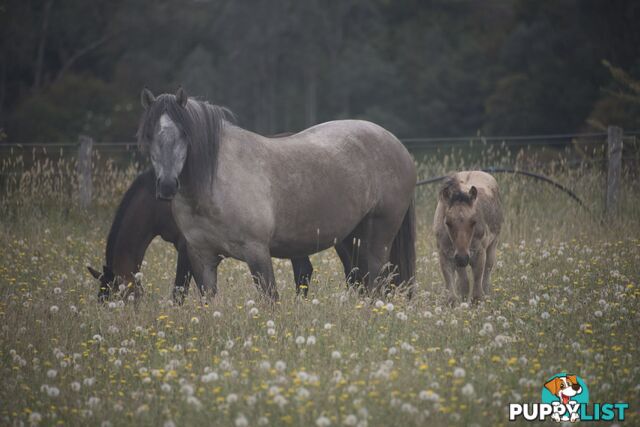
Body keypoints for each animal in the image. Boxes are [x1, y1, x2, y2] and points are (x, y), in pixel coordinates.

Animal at [138, 87, 418, 300]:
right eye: (149, 135)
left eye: (184, 134)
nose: (167, 186)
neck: (215, 185)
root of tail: (397, 145)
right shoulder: (202, 257)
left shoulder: (257, 252)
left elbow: (269, 299)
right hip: (351, 238)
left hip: (378, 236)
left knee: (376, 282)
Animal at [432, 171, 502, 304]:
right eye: (448, 222)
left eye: (474, 222)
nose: (462, 258)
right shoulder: (445, 255)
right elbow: (453, 296)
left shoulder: (479, 253)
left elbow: (477, 295)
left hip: (492, 245)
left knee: (487, 274)